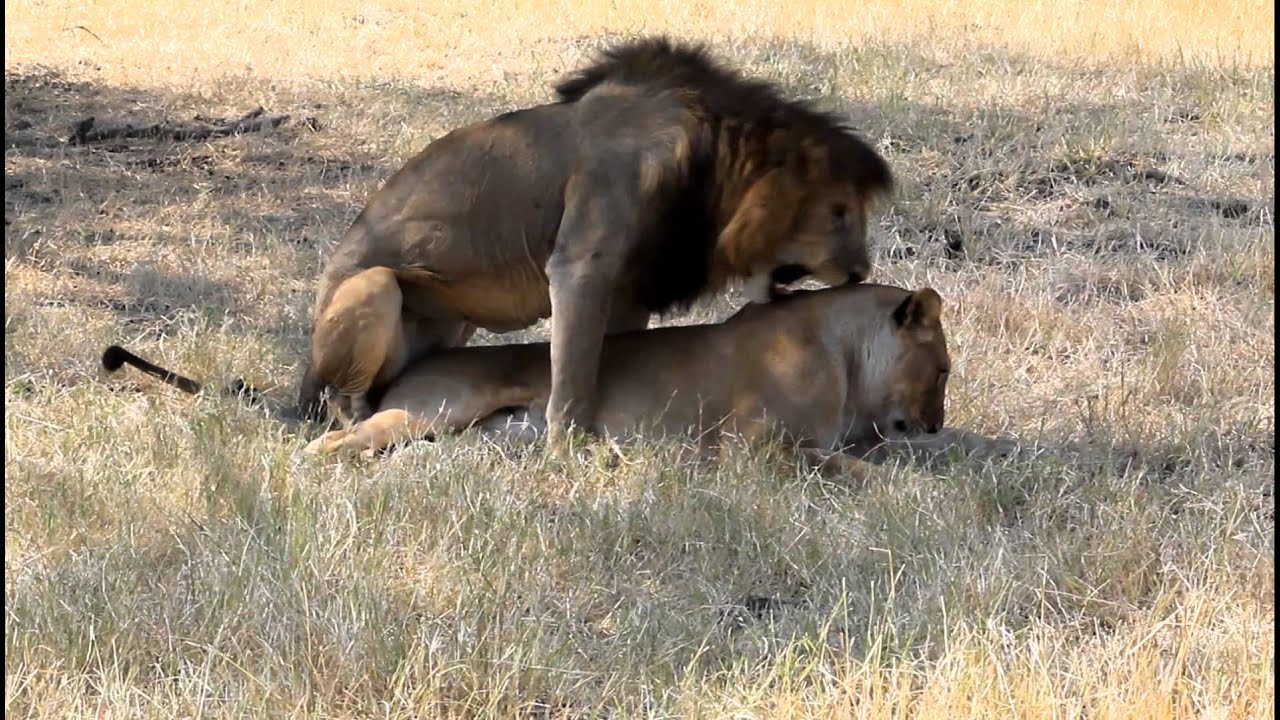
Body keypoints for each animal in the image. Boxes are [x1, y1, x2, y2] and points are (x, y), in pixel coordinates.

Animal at [296, 40, 901, 443]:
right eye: (839, 213)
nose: (860, 271)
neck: (710, 169)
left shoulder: (629, 290)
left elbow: (608, 360)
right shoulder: (580, 266)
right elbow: (571, 378)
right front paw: (567, 449)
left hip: (453, 326)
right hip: (373, 286)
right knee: (340, 396)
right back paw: (356, 419)